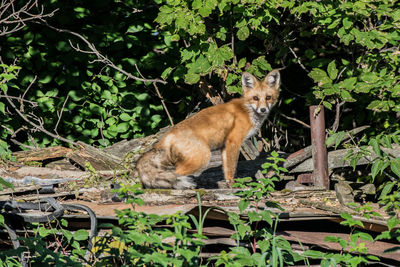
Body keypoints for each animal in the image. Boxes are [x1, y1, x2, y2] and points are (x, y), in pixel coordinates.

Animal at [138, 70, 282, 189]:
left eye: (268, 97)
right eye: (255, 98)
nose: (263, 109)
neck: (247, 111)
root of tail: (168, 135)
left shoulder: (225, 146)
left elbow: (226, 171)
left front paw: (228, 186)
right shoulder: (233, 141)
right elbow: (232, 169)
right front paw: (234, 188)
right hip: (202, 158)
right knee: (176, 174)